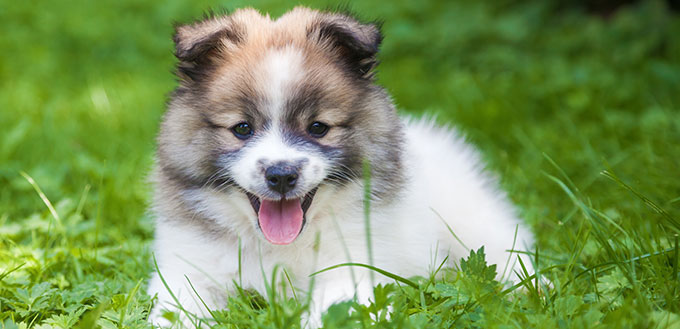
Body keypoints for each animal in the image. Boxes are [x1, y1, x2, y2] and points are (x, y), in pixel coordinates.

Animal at [149, 6, 536, 326]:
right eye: (242, 128)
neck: (280, 247)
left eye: (318, 127)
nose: (281, 176)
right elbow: (177, 310)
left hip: (474, 221)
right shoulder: (187, 271)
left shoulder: (350, 270)